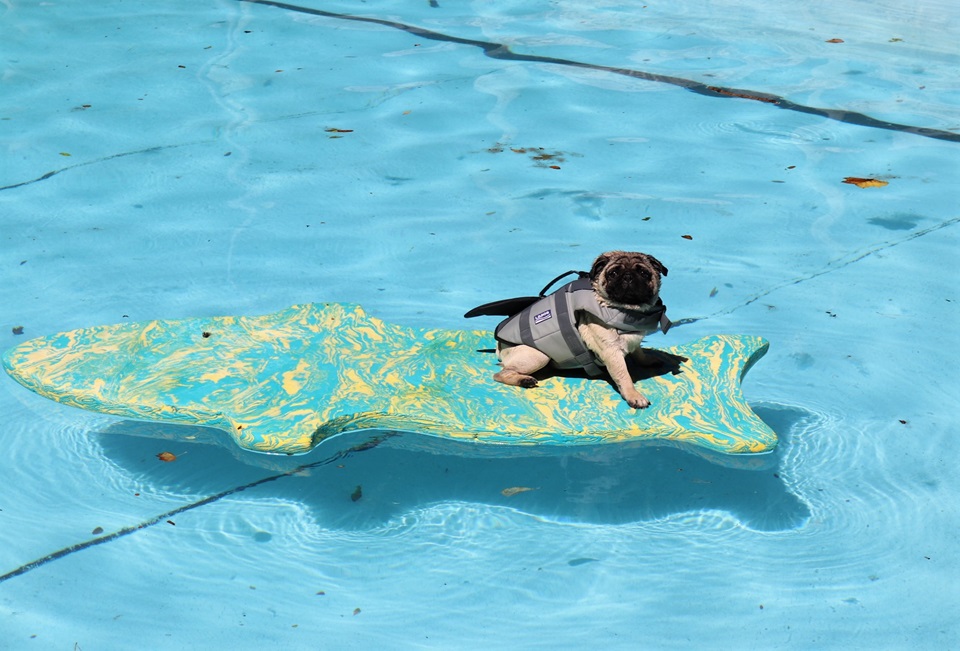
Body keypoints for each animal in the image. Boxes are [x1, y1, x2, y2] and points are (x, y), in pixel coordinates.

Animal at [496, 252, 668, 410]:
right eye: (613, 273)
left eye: (644, 273)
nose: (628, 276)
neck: (629, 311)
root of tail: (499, 347)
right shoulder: (612, 354)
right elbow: (624, 376)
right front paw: (634, 396)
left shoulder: (634, 341)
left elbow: (639, 353)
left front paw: (647, 360)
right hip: (538, 356)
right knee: (500, 374)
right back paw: (524, 380)